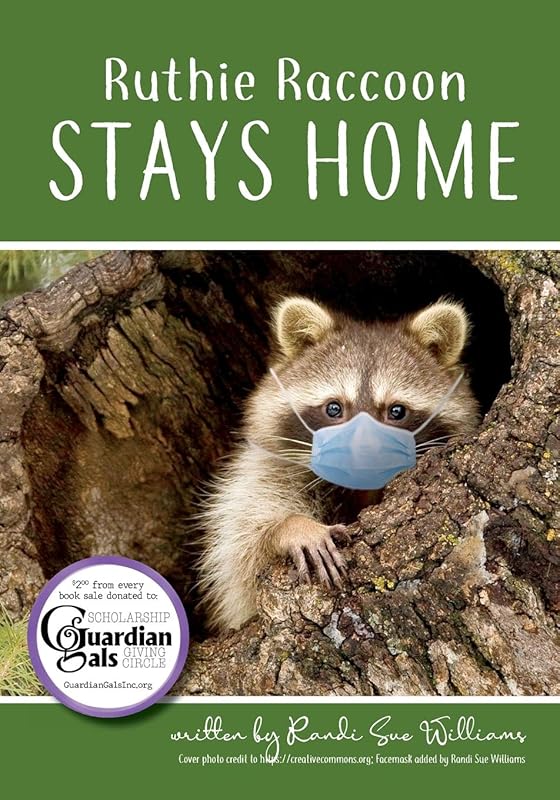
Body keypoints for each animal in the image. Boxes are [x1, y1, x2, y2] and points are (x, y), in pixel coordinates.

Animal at [198, 296, 480, 632]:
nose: (362, 457)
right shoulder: (264, 467)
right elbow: (241, 550)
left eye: (396, 411)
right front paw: (291, 526)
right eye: (334, 408)